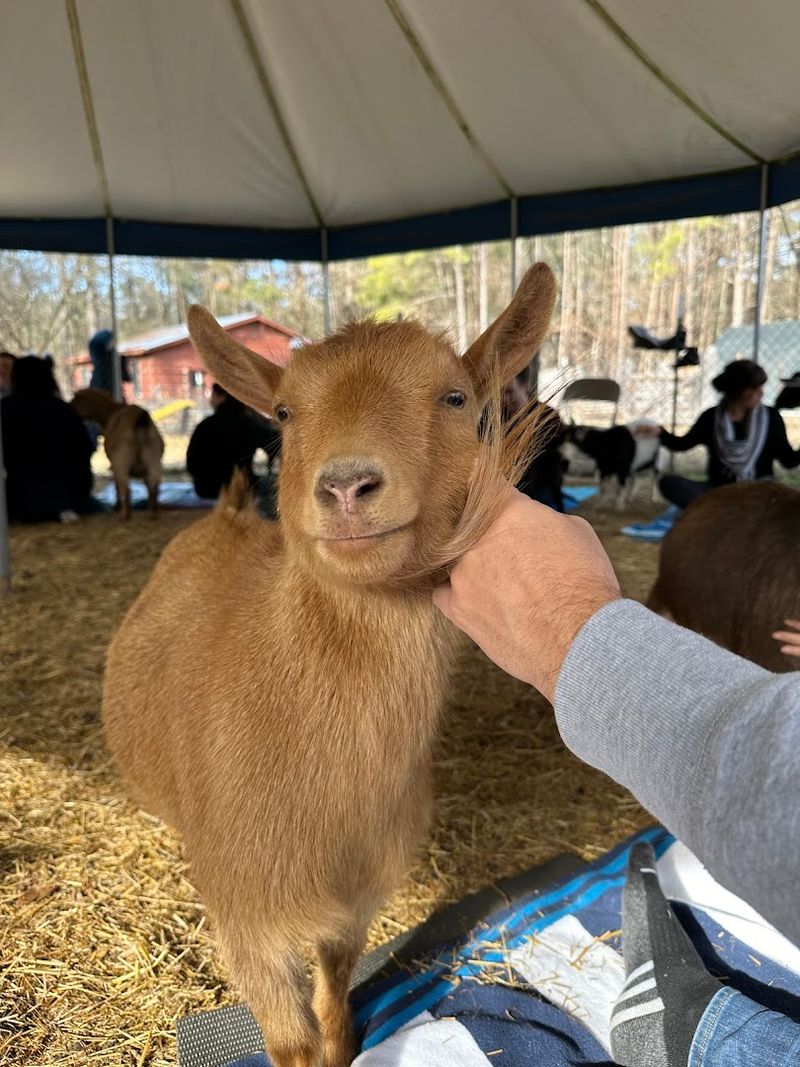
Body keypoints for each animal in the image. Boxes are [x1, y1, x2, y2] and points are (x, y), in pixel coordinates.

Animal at [72, 388, 164, 519]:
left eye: (76, 399)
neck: (110, 411)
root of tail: (140, 420)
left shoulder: (113, 465)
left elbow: (116, 486)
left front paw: (116, 507)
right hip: (153, 459)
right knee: (154, 485)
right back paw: (153, 513)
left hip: (121, 463)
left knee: (126, 489)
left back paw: (124, 515)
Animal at [101, 265, 557, 1067]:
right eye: (284, 412)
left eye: (454, 396)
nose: (346, 486)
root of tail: (223, 515)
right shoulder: (246, 914)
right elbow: (288, 1042)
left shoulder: (355, 899)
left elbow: (336, 1003)